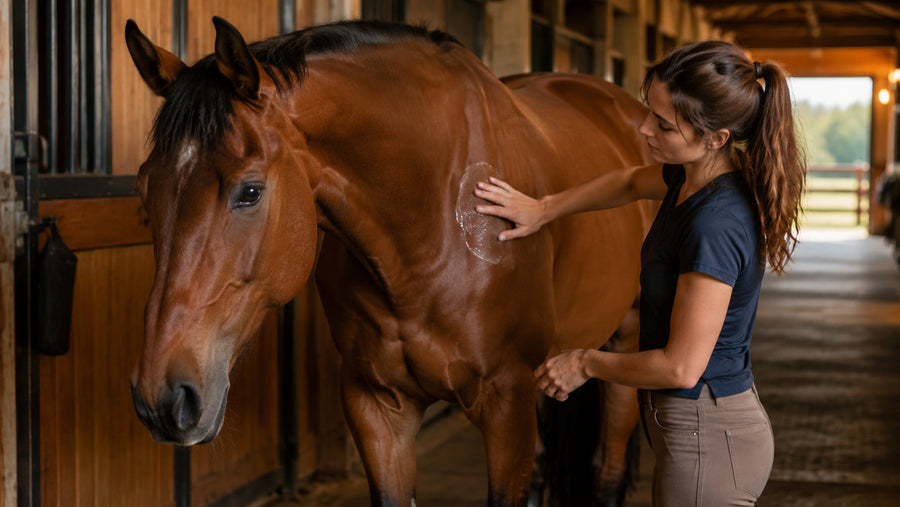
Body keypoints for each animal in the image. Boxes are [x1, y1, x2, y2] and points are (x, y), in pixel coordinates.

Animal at [125, 17, 656, 506]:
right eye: (145, 187)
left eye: (250, 191)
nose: (161, 399)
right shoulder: (375, 404)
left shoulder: (508, 402)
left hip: (625, 346)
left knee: (607, 469)